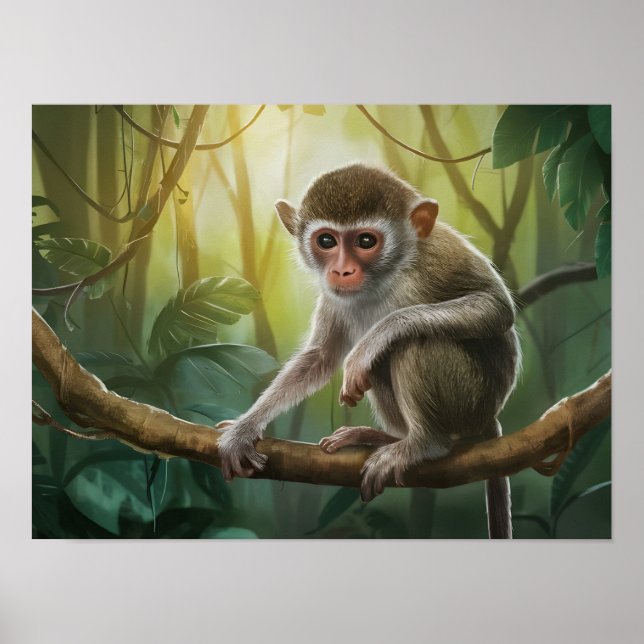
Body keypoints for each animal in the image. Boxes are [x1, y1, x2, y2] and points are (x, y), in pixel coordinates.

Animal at [216, 163, 520, 539]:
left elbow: (495, 307)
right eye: (327, 241)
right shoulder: (331, 294)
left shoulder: (437, 257)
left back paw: (422, 444)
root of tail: (490, 415)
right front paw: (244, 429)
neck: (389, 274)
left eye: (365, 241)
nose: (342, 270)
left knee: (416, 342)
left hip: (472, 400)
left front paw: (376, 337)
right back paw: (382, 437)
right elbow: (320, 358)